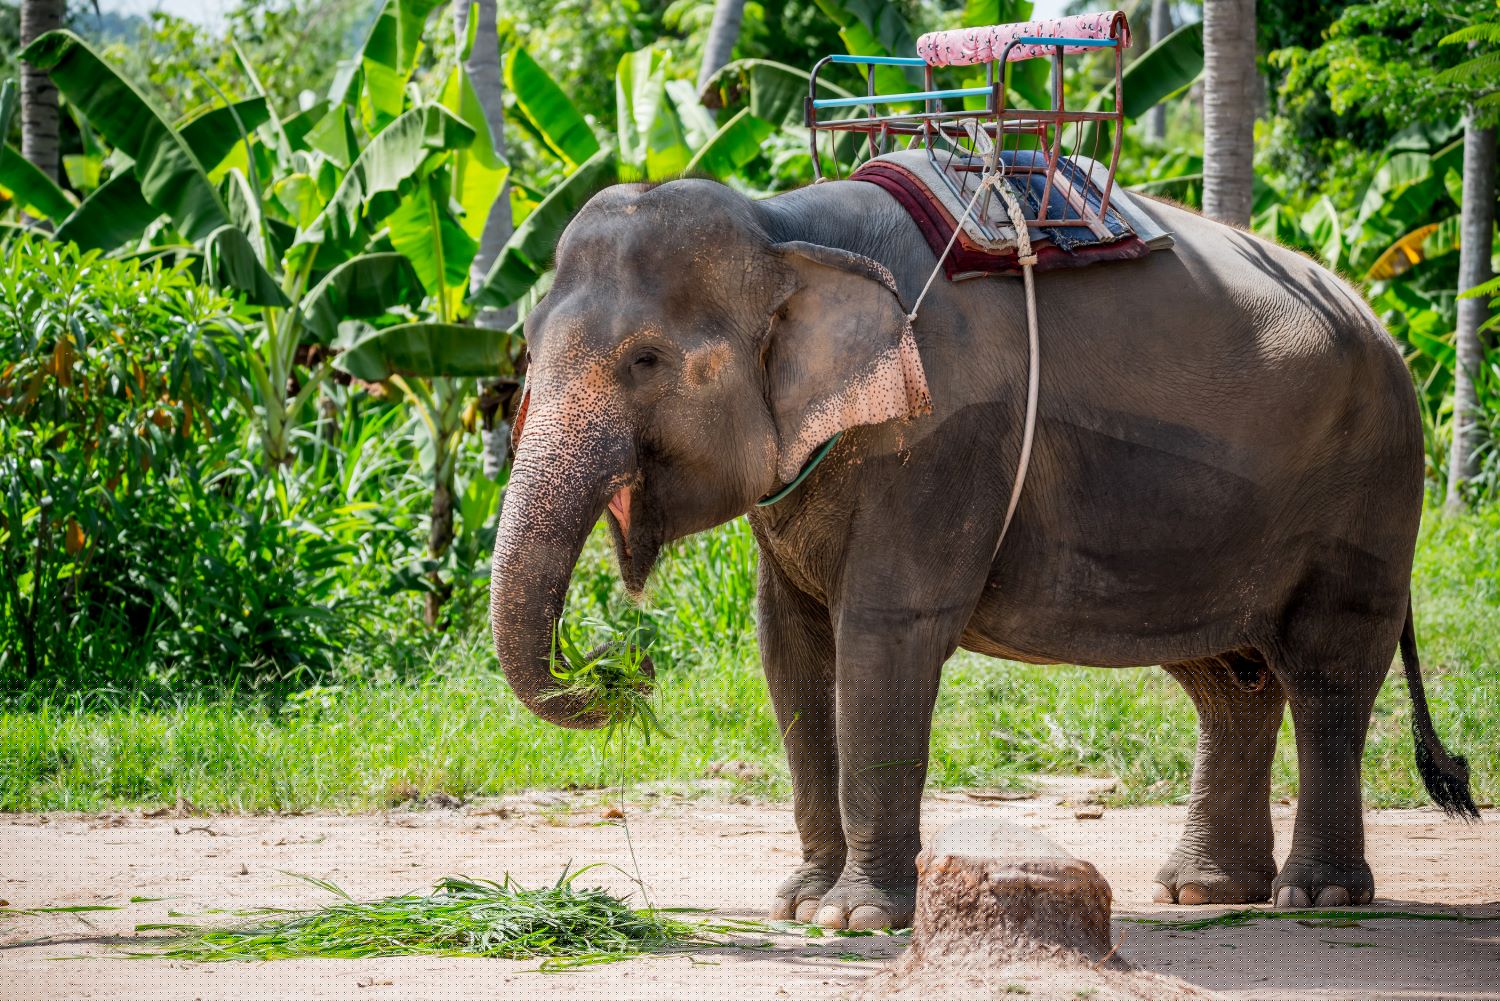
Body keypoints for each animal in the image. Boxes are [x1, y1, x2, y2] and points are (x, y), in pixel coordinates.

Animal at [488, 175, 1477, 931]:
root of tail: (1379, 321)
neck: (786, 225)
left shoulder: (942, 440)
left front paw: (855, 918)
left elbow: (885, 633)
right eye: (527, 347)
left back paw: (1317, 897)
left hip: (1371, 488)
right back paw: (1204, 891)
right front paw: (799, 902)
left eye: (646, 359)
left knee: (1326, 674)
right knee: (1229, 679)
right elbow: (790, 648)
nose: (623, 666)